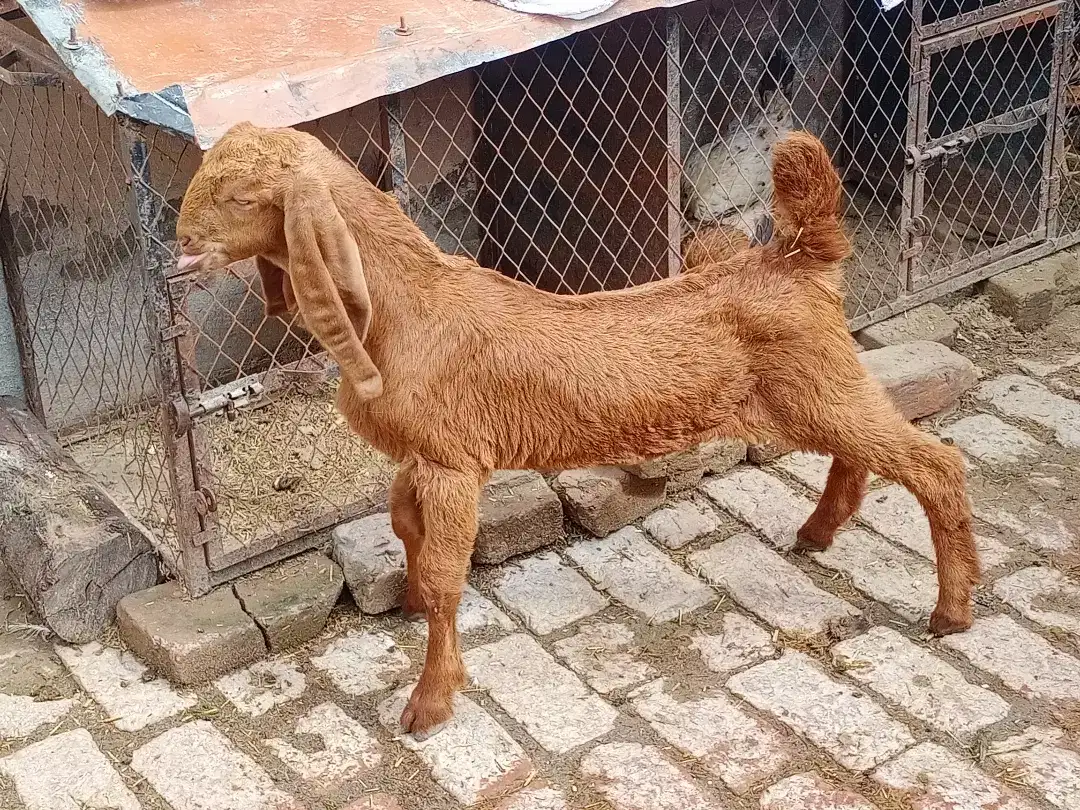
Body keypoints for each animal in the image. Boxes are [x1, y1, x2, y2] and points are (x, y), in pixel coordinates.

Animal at [175, 123, 979, 736]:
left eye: (243, 197)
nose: (182, 246)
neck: (403, 310)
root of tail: (798, 258)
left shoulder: (454, 463)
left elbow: (444, 573)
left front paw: (429, 704)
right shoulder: (424, 455)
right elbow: (404, 525)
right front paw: (405, 606)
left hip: (818, 386)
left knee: (934, 462)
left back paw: (951, 610)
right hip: (817, 390)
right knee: (862, 453)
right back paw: (818, 533)